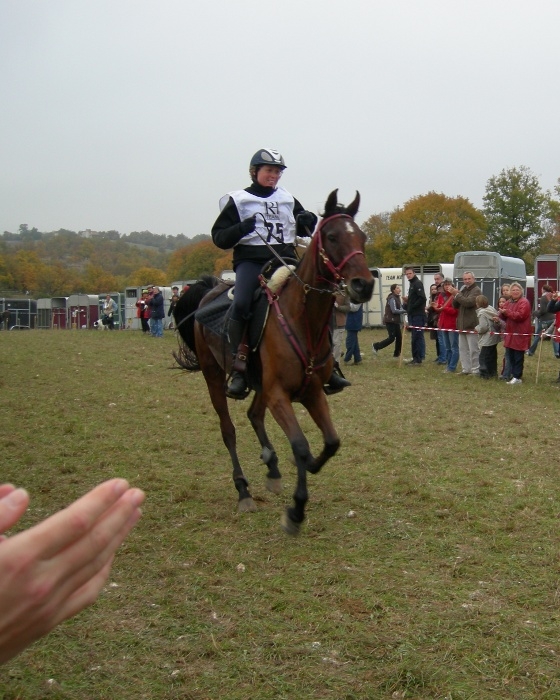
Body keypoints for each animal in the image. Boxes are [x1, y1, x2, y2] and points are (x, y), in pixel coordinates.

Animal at [173, 189, 374, 534]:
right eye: (332, 237)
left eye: (361, 236)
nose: (364, 285)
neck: (301, 319)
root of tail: (208, 290)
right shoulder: (280, 394)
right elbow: (301, 445)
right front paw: (296, 510)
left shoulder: (311, 392)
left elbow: (331, 442)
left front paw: (305, 466)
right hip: (215, 377)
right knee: (229, 430)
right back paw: (243, 490)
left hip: (260, 385)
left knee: (254, 415)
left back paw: (273, 468)